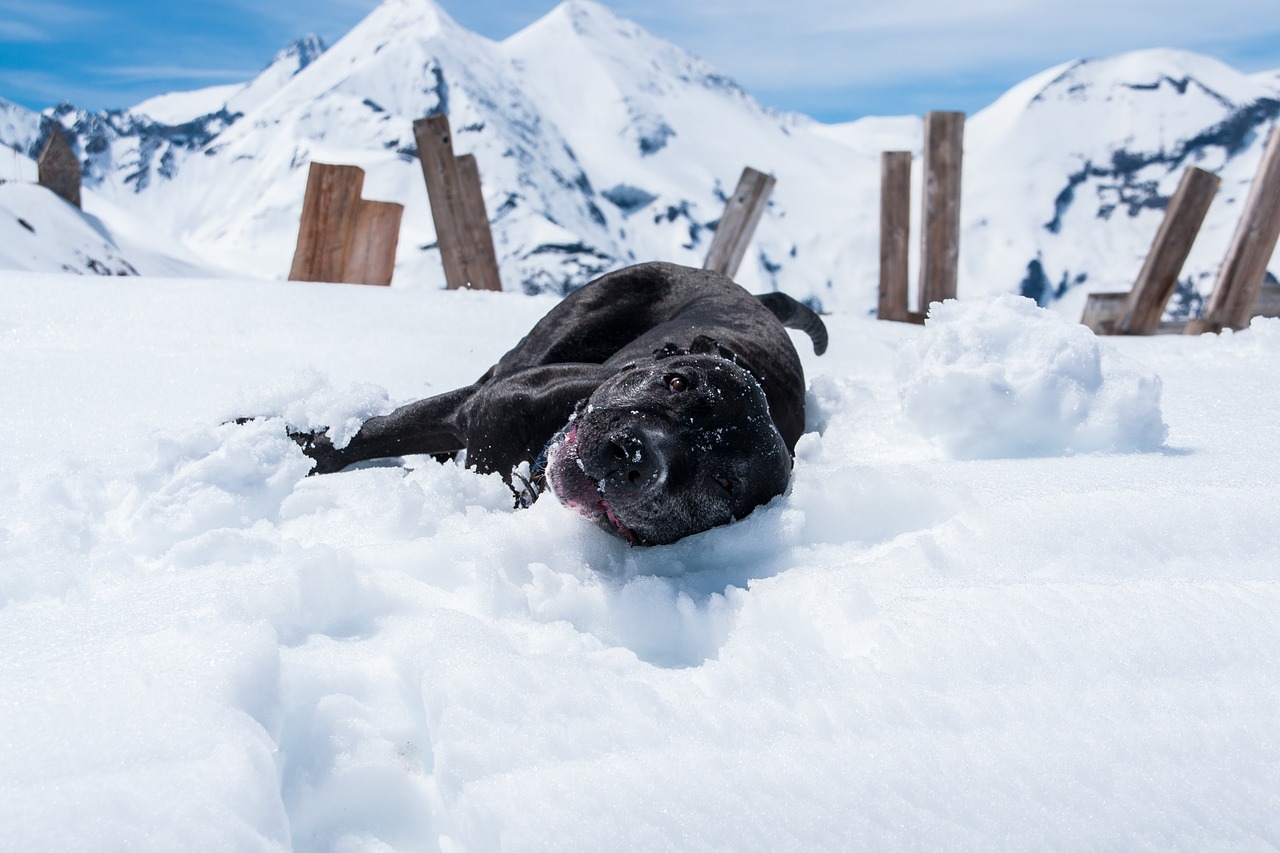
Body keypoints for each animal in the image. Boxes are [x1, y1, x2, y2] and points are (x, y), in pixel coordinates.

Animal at [288, 261, 829, 545]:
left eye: (723, 482)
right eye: (677, 383)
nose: (630, 457)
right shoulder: (476, 409)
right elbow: (363, 436)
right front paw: (288, 446)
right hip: (560, 330)